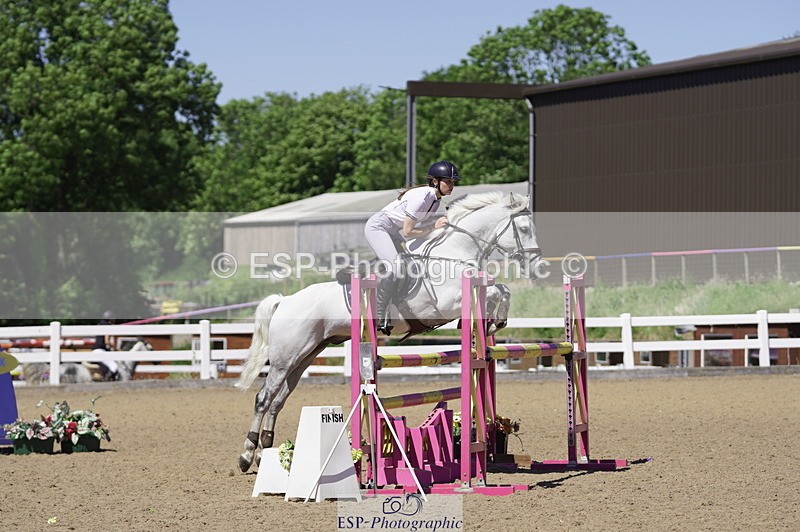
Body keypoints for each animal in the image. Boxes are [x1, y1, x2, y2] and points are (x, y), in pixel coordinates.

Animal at [234, 191, 540, 473]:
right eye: (525, 229)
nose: (536, 265)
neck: (454, 253)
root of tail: (285, 301)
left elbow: (502, 289)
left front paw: (494, 322)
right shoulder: (444, 303)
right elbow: (493, 291)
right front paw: (492, 319)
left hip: (304, 357)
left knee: (278, 400)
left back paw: (265, 454)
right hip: (285, 358)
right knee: (264, 399)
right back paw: (247, 455)